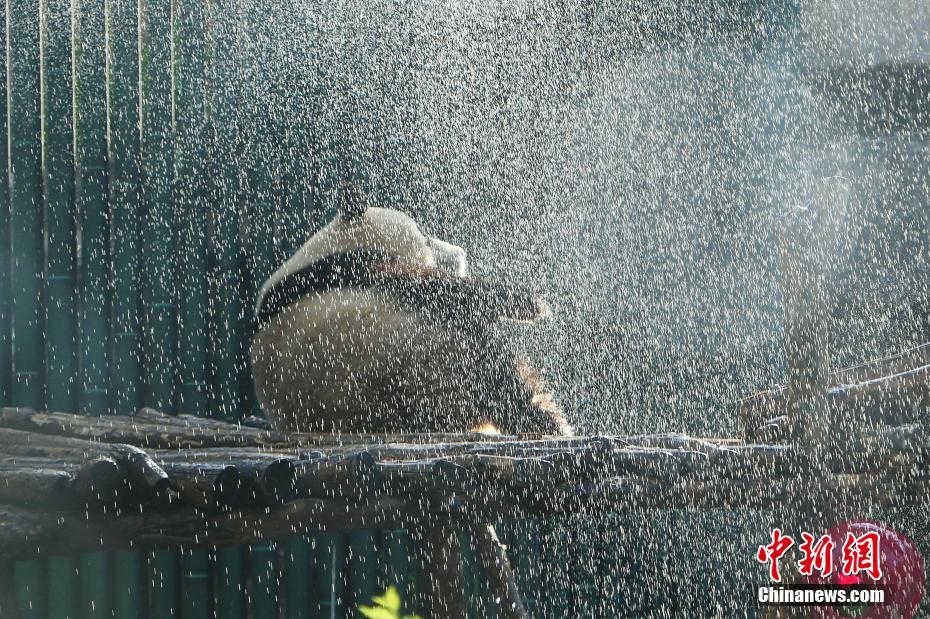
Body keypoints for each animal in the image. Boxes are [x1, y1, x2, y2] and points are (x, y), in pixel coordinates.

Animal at [246, 189, 568, 436]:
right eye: (425, 237)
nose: (459, 253)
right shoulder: (355, 270)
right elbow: (436, 287)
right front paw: (531, 303)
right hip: (428, 357)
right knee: (494, 366)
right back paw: (546, 418)